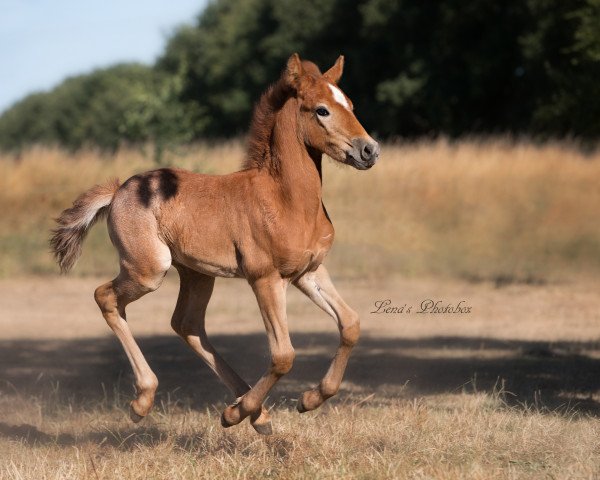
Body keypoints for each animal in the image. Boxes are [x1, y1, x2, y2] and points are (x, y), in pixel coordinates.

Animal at [52, 53, 380, 436]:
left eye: (351, 105)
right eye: (322, 110)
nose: (369, 150)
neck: (286, 199)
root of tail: (118, 190)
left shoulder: (308, 272)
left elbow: (351, 324)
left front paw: (309, 400)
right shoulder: (265, 278)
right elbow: (283, 354)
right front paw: (236, 414)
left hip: (197, 274)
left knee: (187, 324)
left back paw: (255, 413)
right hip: (149, 270)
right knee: (106, 297)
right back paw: (145, 401)